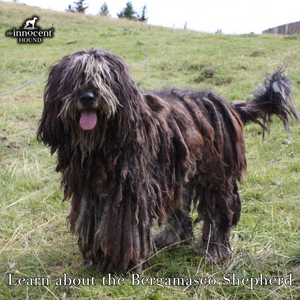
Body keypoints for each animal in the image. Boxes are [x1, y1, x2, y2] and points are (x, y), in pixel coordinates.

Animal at [38, 47, 300, 274]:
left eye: (103, 76)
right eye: (73, 78)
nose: (87, 97)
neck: (102, 143)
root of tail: (229, 106)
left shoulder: (129, 192)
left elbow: (121, 230)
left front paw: (119, 264)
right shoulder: (90, 189)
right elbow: (94, 224)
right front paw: (95, 258)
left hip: (215, 174)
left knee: (219, 212)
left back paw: (214, 250)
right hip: (176, 173)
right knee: (180, 211)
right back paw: (170, 237)